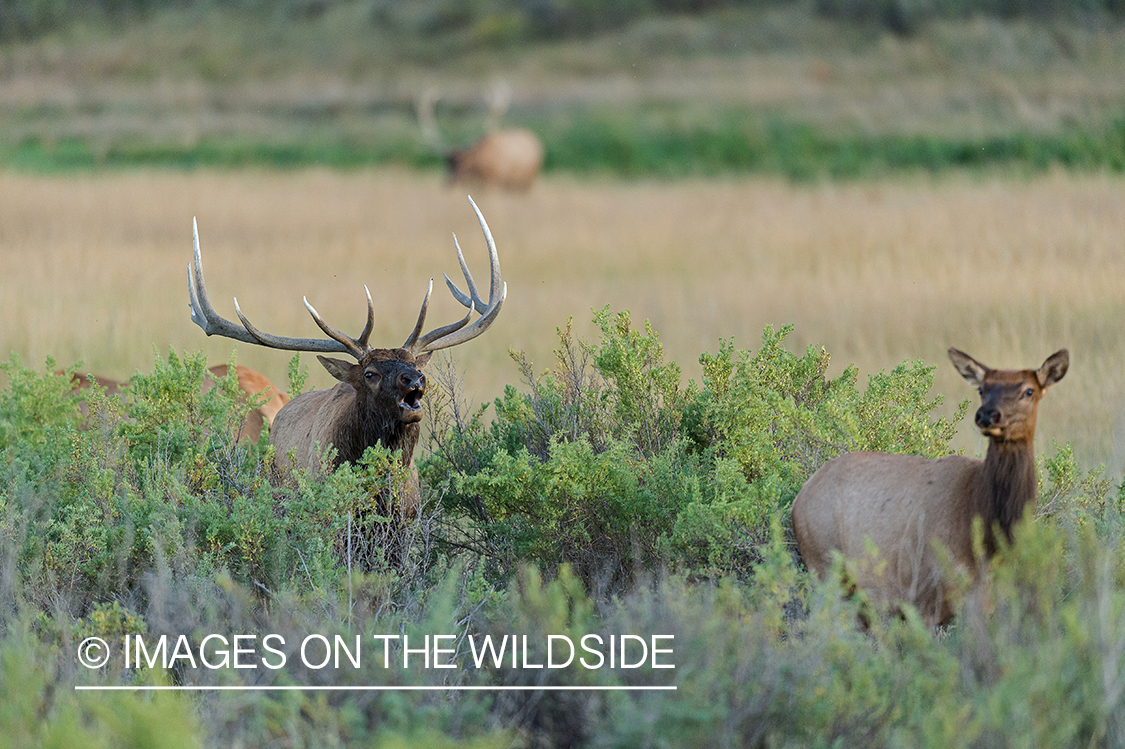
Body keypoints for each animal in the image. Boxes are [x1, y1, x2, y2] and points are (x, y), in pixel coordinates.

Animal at [787, 346, 1066, 625]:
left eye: (1029, 390)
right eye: (982, 388)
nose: (988, 415)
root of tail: (799, 499)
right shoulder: (923, 594)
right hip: (824, 566)